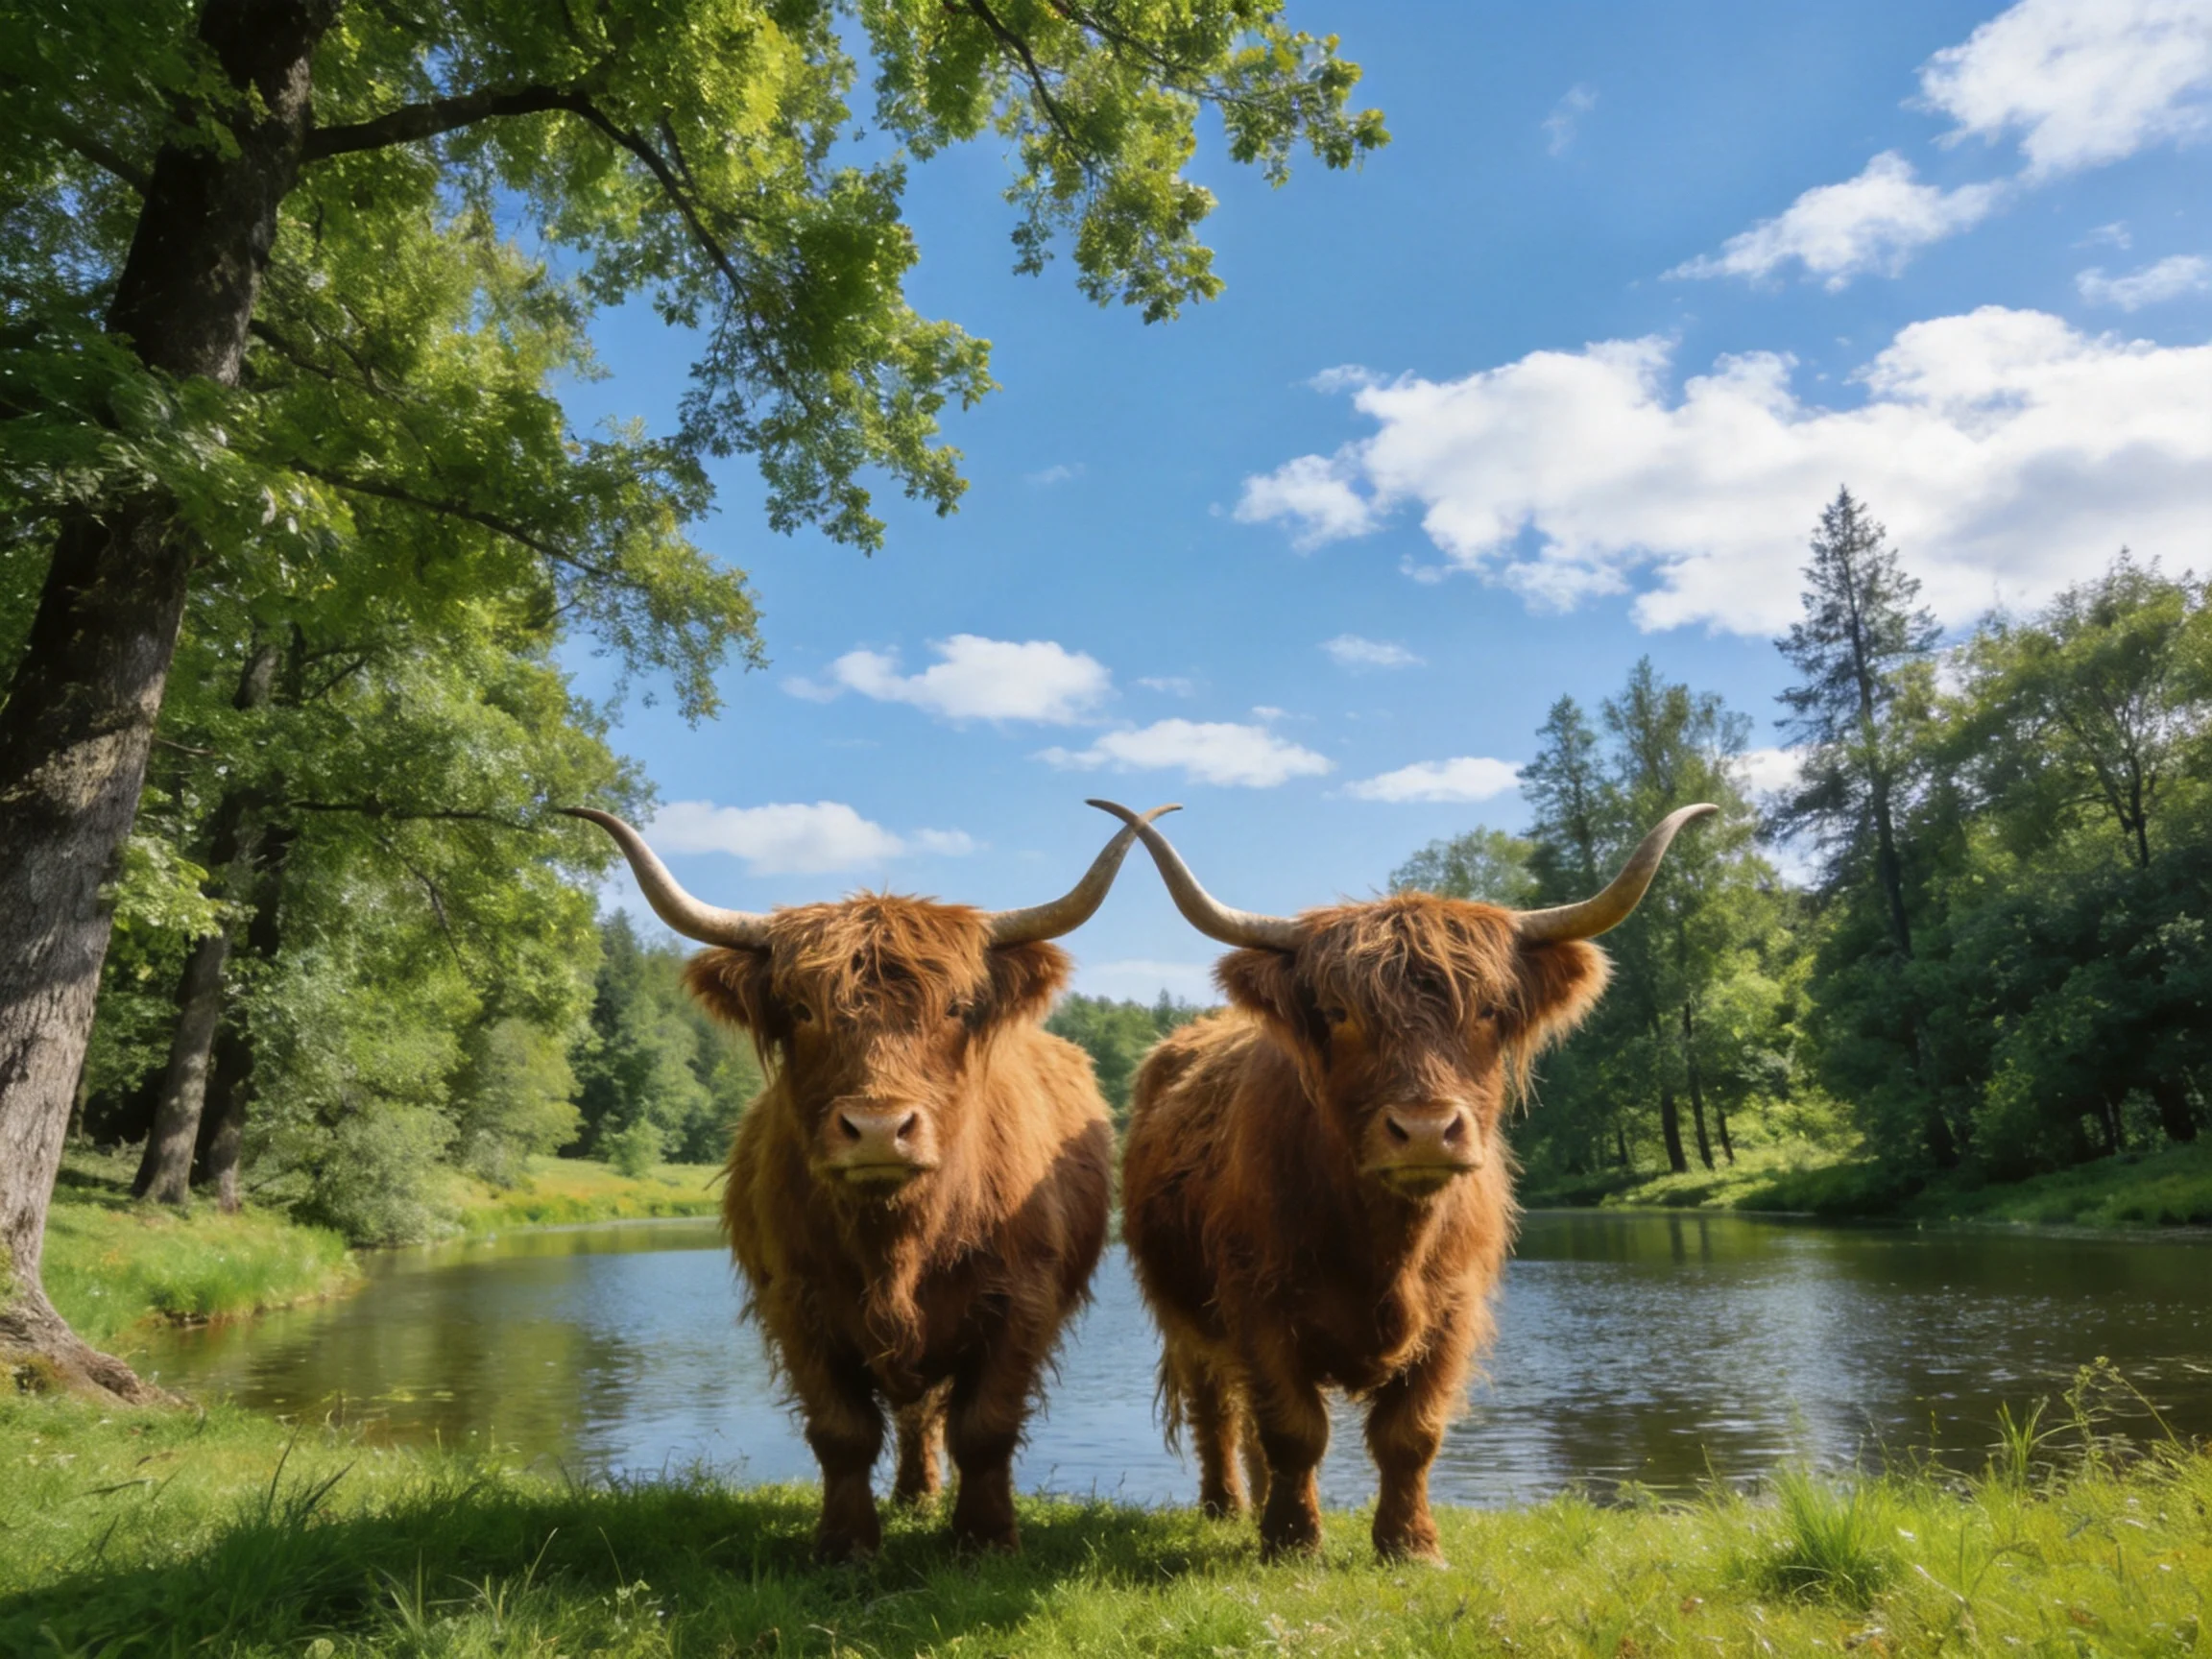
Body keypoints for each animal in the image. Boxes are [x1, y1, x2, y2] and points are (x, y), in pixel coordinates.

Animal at [568, 804, 1173, 1560]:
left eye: (957, 1007)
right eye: (802, 1010)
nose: (880, 1127)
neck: (900, 1239)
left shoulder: (1022, 1299)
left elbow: (987, 1426)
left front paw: (985, 1539)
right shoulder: (796, 1302)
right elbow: (842, 1432)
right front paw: (845, 1545)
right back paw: (913, 1494)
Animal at [1091, 797, 1715, 1563]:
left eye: (1488, 1010)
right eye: (1339, 1014)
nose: (1423, 1129)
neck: (1386, 1245)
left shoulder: (1454, 1307)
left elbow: (1410, 1434)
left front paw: (1410, 1545)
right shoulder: (1257, 1300)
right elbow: (1293, 1429)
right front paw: (1293, 1542)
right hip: (1184, 1313)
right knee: (1219, 1409)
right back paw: (1226, 1506)